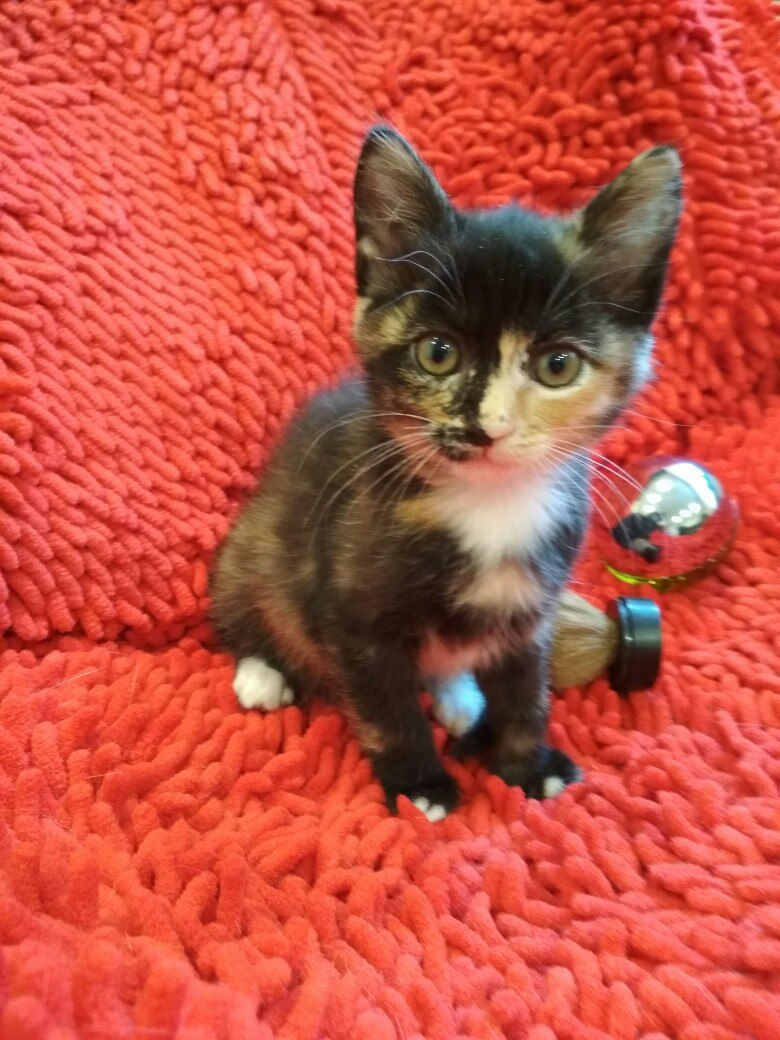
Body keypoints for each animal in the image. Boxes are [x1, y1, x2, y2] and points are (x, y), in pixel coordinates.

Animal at [210, 126, 681, 821]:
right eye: (438, 353)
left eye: (558, 366)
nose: (489, 427)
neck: (489, 506)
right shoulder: (352, 616)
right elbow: (387, 711)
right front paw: (419, 785)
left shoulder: (532, 610)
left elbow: (527, 692)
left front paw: (527, 766)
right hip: (254, 548)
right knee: (244, 607)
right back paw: (262, 671)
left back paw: (460, 696)